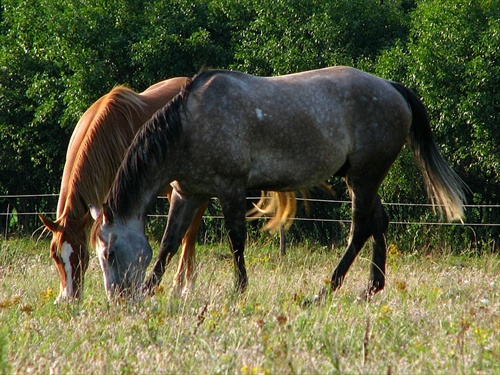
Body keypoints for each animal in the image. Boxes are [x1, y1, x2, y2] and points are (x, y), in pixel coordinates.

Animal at [91, 67, 468, 302]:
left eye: (109, 253)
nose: (118, 300)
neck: (189, 124)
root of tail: (393, 89)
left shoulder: (231, 188)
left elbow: (236, 241)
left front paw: (240, 290)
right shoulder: (188, 193)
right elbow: (169, 244)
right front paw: (150, 290)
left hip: (364, 178)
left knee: (360, 228)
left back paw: (324, 291)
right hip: (359, 178)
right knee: (379, 222)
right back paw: (371, 288)